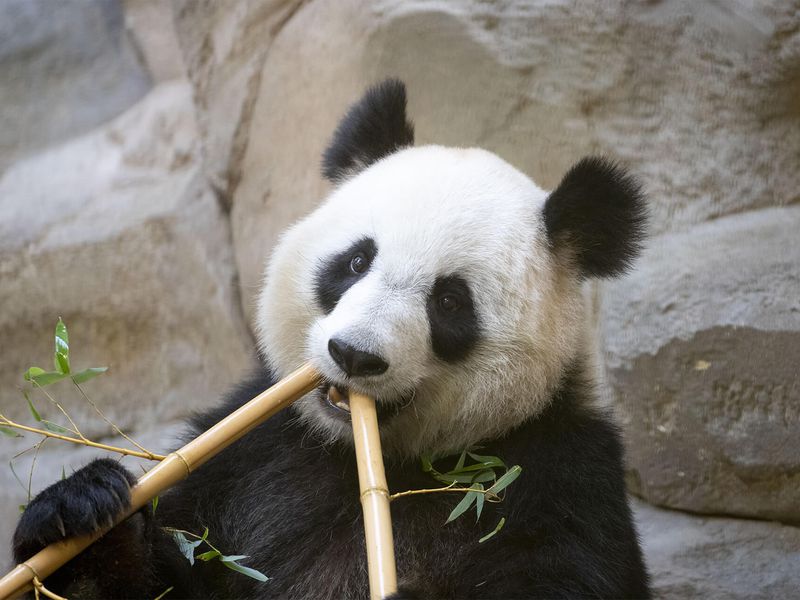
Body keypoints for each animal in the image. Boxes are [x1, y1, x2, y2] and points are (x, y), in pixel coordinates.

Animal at [10, 81, 648, 600]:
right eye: (356, 261)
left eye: (449, 301)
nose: (355, 355)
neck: (366, 456)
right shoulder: (254, 457)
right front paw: (81, 520)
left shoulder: (558, 480)